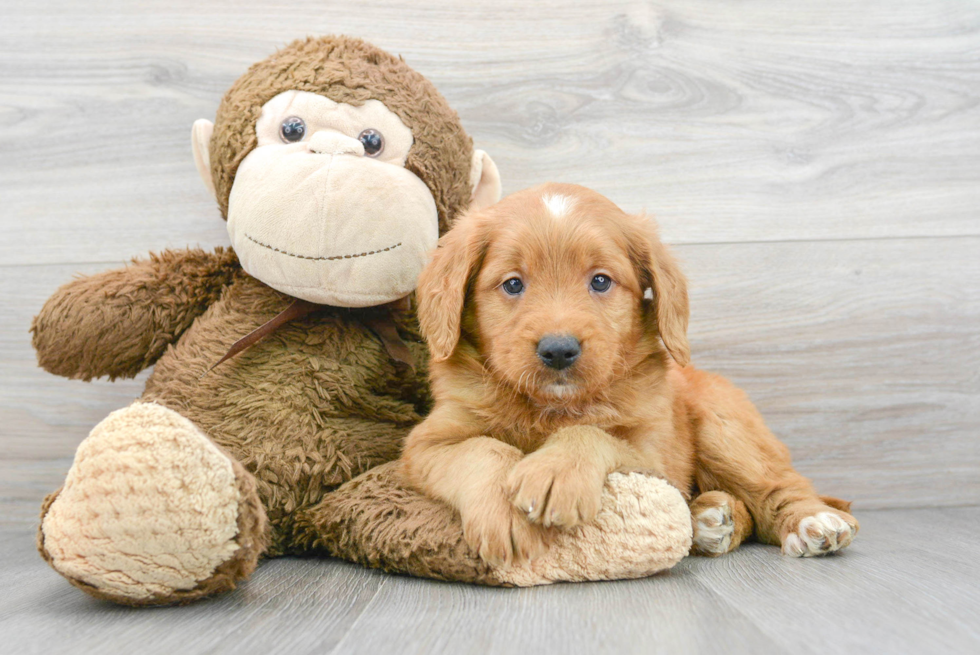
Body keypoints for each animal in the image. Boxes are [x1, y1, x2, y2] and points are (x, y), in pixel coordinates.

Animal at [398, 182, 856, 568]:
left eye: (601, 281)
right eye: (512, 285)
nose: (559, 350)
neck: (551, 408)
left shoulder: (654, 454)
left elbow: (594, 432)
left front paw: (556, 472)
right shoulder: (427, 444)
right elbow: (483, 450)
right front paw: (505, 515)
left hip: (725, 428)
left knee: (780, 487)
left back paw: (813, 522)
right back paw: (712, 518)